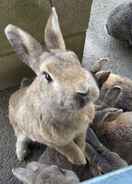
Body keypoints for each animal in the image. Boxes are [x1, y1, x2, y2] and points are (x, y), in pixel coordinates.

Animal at [4, 7, 99, 165]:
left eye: (74, 58)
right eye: (47, 76)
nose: (84, 91)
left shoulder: (82, 130)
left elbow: (81, 141)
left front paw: (83, 152)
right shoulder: (54, 141)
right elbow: (69, 148)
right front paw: (80, 160)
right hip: (19, 127)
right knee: (20, 139)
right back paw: (21, 155)